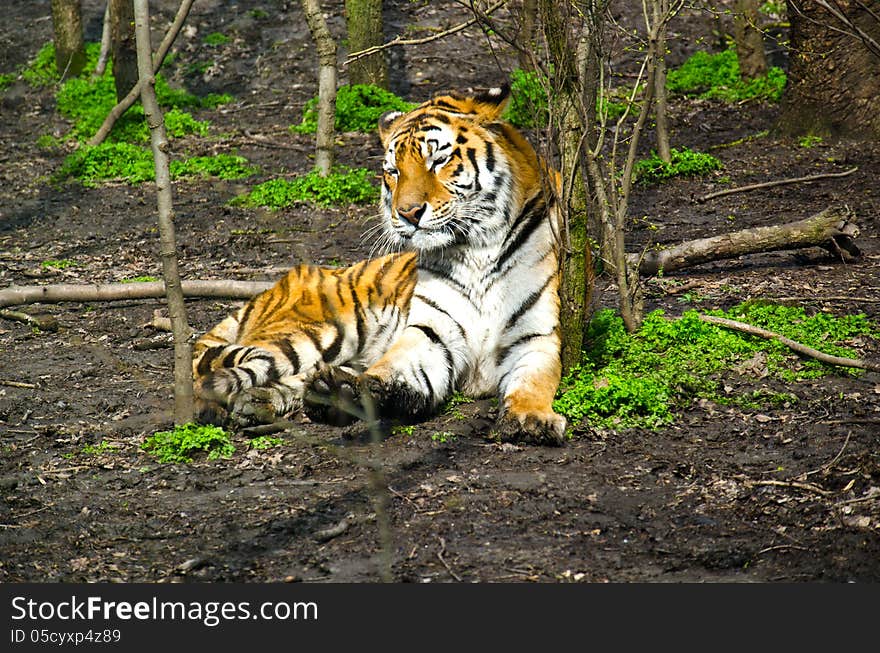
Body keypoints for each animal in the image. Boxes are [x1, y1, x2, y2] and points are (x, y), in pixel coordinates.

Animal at [300, 85, 564, 444]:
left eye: (438, 161)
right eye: (393, 171)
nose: (408, 213)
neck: (475, 251)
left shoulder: (535, 333)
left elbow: (534, 381)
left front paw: (530, 419)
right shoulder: (431, 332)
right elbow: (394, 366)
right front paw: (342, 392)